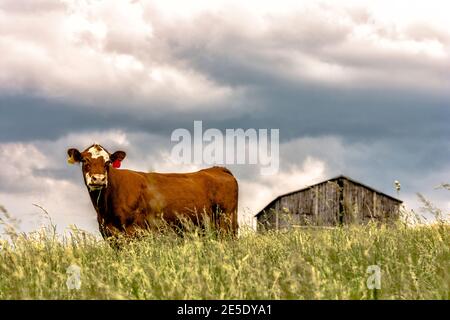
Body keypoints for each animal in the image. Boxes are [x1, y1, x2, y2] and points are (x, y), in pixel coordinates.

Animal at [67, 144, 239, 239]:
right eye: (85, 160)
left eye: (108, 161)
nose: (98, 179)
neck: (105, 208)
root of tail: (217, 169)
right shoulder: (109, 233)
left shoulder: (134, 231)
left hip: (226, 222)